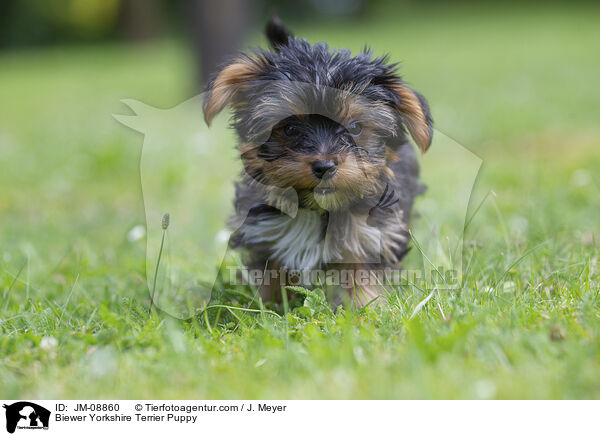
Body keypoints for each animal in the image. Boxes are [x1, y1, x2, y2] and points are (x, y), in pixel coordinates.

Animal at [204, 17, 434, 306]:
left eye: (355, 127)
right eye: (290, 128)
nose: (325, 167)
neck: (314, 210)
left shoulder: (370, 234)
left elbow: (361, 273)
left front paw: (364, 309)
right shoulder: (265, 232)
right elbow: (272, 274)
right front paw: (268, 307)